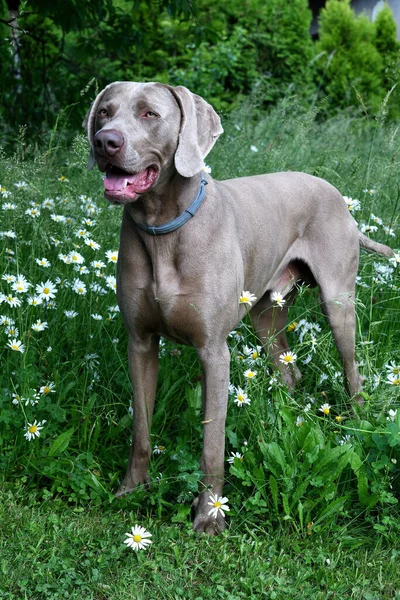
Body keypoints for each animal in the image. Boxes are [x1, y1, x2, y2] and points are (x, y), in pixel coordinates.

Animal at [83, 81, 392, 536]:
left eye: (149, 114)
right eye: (105, 111)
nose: (105, 141)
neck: (163, 229)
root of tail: (337, 193)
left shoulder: (214, 351)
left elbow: (212, 443)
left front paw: (209, 516)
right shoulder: (139, 342)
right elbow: (141, 429)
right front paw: (130, 490)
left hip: (338, 304)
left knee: (353, 372)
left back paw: (357, 424)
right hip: (266, 316)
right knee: (290, 371)